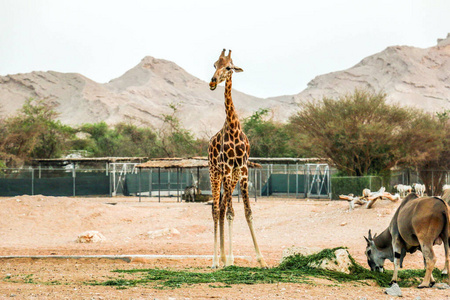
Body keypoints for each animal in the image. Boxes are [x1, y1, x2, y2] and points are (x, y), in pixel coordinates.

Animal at [208, 49, 268, 270]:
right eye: (214, 64)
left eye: (228, 67)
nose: (212, 81)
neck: (234, 129)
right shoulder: (225, 168)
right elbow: (231, 213)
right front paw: (232, 260)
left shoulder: (242, 170)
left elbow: (247, 212)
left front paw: (261, 259)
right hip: (214, 173)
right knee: (216, 209)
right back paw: (216, 261)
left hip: (231, 177)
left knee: (222, 207)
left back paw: (223, 258)